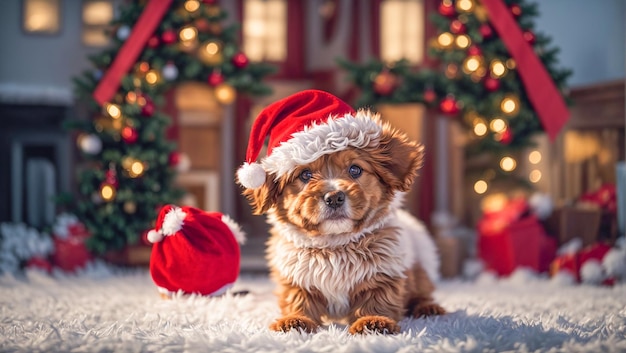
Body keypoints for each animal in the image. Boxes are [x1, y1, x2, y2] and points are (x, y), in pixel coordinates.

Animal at [235, 89, 444, 334]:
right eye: (305, 175)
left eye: (355, 170)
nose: (334, 197)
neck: (334, 245)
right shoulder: (296, 276)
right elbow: (297, 299)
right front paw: (295, 320)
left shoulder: (384, 272)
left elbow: (377, 299)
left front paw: (374, 321)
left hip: (419, 271)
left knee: (422, 292)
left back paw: (428, 308)